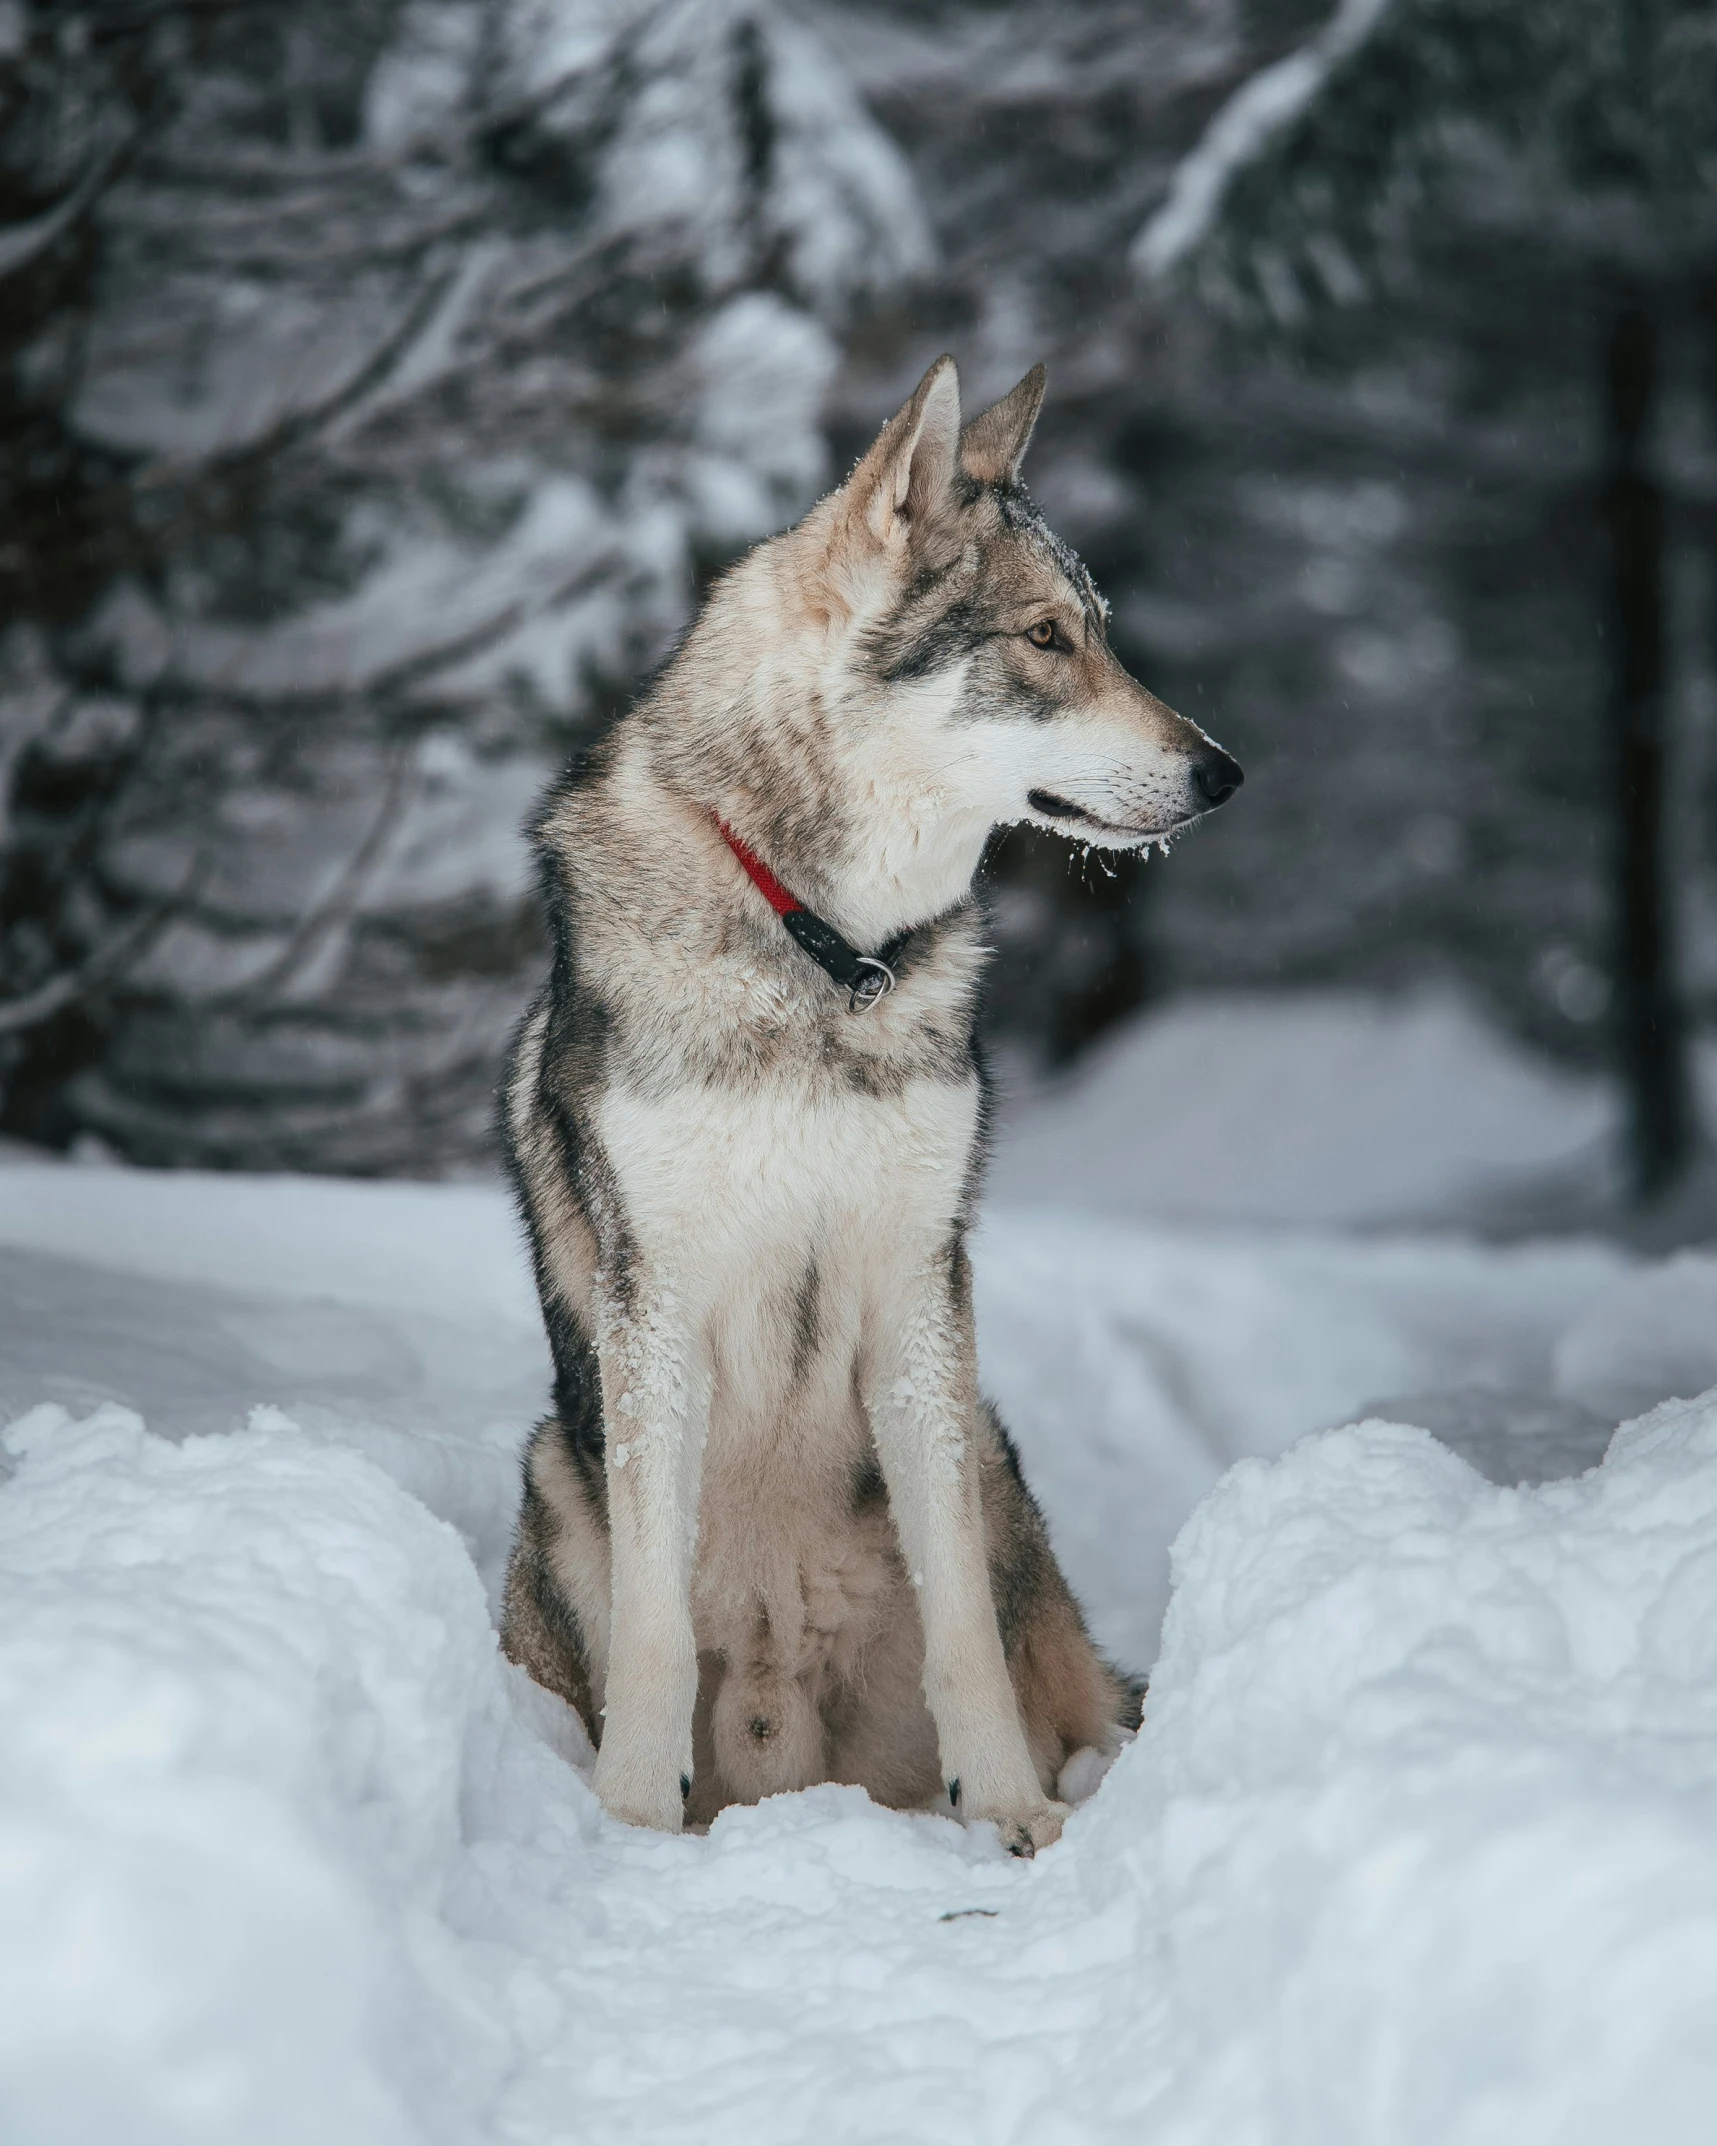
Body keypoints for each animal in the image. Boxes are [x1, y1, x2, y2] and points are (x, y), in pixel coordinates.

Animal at [502, 360, 1244, 1854]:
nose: (1224, 771)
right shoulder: (655, 1304)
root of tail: (792, 1755)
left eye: (1102, 637)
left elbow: (962, 1624)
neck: (825, 952)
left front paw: (1010, 1809)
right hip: (554, 1469)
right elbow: (654, 1631)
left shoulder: (917, 1293)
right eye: (1043, 637)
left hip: (997, 1460)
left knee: (1078, 1691)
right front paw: (630, 1819)